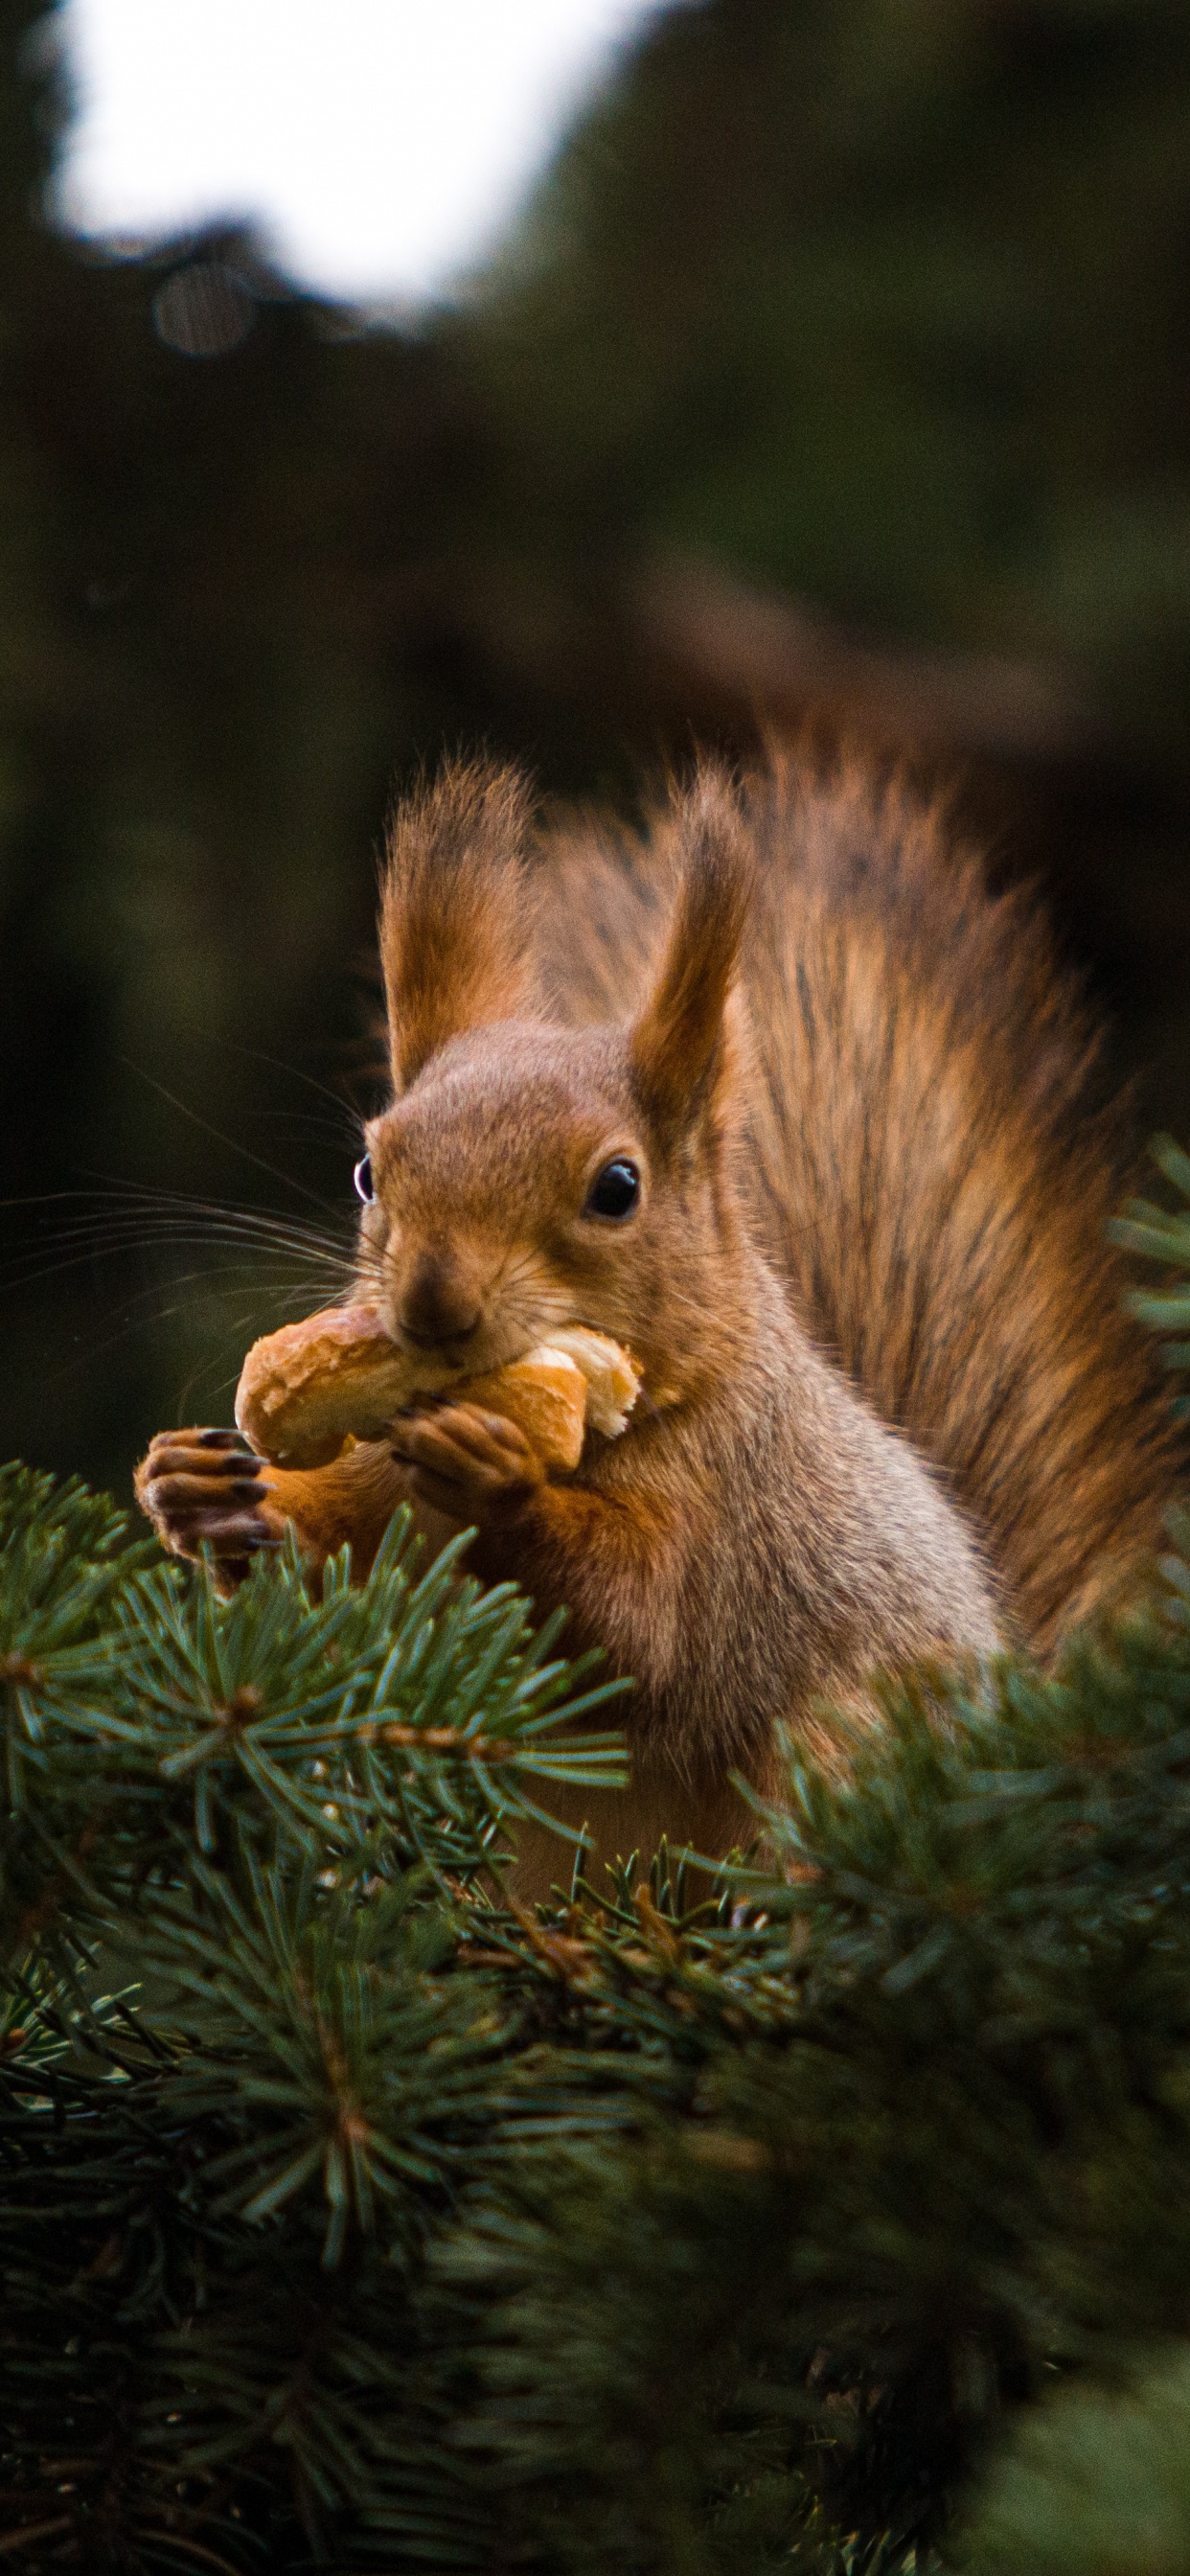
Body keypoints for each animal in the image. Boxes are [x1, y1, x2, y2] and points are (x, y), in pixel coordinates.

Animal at [136, 752, 1179, 1893]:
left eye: (618, 1187)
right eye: (370, 1169)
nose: (431, 1302)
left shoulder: (730, 1506)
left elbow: (640, 1632)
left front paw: (501, 1478)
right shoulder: (385, 1497)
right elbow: (343, 1562)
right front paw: (200, 1490)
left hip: (841, 1746)